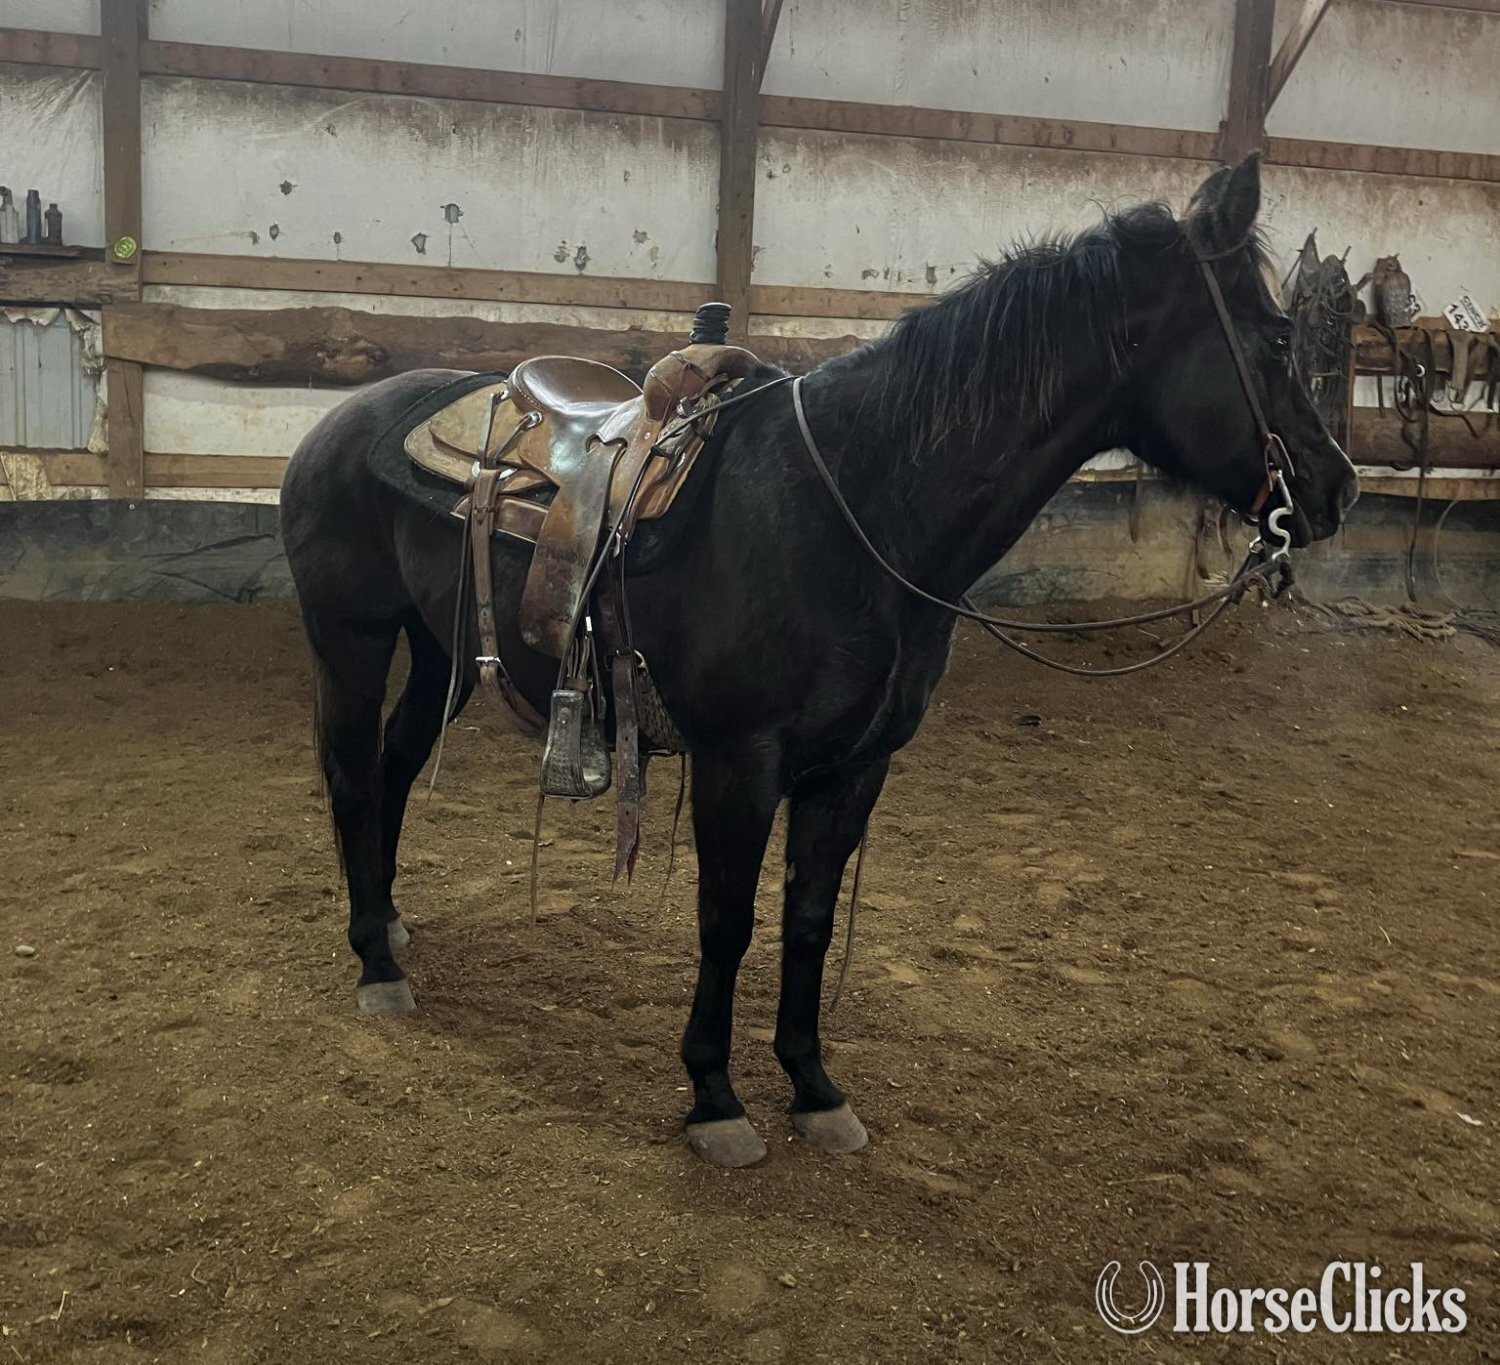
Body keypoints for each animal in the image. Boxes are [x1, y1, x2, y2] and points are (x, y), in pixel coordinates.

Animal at [280, 154, 1359, 1167]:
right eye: (1273, 337)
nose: (1336, 488)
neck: (850, 506)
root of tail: (342, 418)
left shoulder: (854, 767)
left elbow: (808, 917)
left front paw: (813, 1085)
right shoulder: (741, 762)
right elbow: (727, 919)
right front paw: (715, 1098)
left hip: (442, 653)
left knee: (394, 767)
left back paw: (392, 925)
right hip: (350, 637)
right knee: (352, 774)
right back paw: (377, 965)